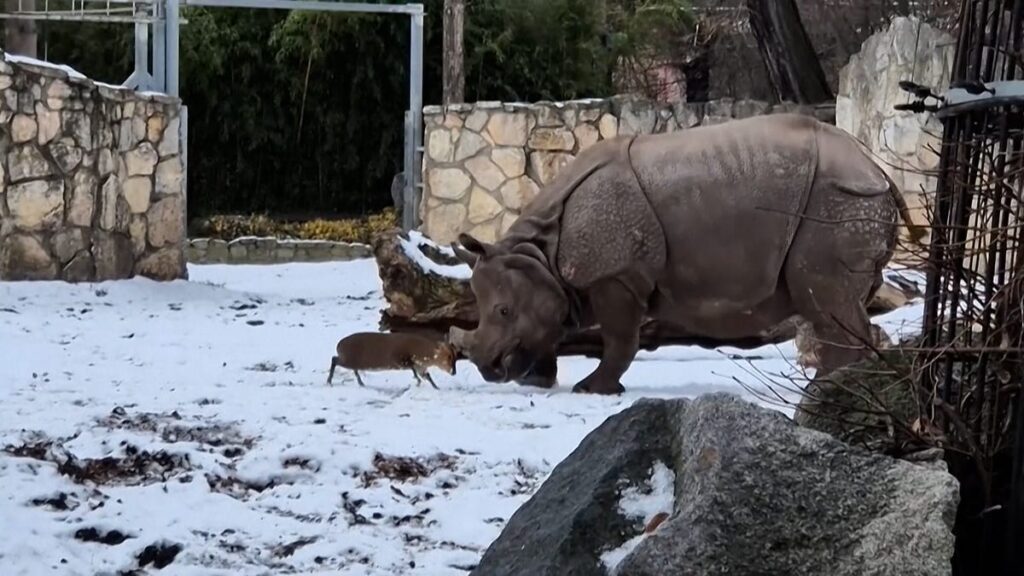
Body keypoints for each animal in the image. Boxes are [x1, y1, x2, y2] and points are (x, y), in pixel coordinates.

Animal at [450, 113, 925, 395]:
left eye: (503, 311)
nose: (488, 368)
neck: (540, 251)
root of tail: (876, 167)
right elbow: (554, 328)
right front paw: (538, 382)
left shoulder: (617, 273)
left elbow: (619, 337)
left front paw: (591, 389)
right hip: (849, 200)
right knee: (838, 301)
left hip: (839, 200)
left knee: (826, 297)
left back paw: (822, 392)